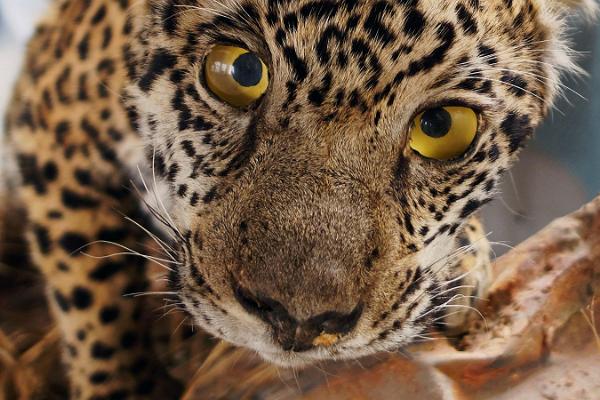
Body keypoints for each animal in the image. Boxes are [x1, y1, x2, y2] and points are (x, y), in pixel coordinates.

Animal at [3, 0, 596, 398]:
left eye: (443, 126)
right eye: (238, 72)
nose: (298, 322)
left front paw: (461, 265)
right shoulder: (54, 126)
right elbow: (95, 301)